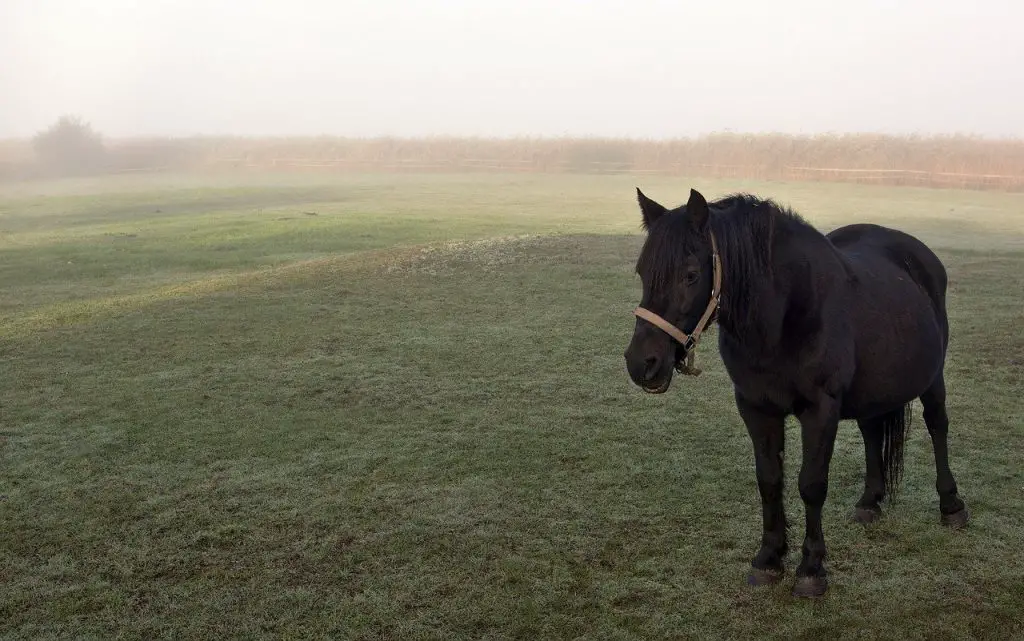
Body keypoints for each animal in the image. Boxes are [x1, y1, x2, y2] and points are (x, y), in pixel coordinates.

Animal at [622, 187, 966, 597]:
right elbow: (770, 480)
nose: (642, 363)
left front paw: (811, 568)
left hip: (933, 378)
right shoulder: (756, 408)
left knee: (937, 425)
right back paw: (869, 502)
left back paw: (951, 505)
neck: (782, 316)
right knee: (871, 431)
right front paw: (769, 559)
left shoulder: (820, 410)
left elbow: (811, 484)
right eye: (642, 272)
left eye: (690, 275)